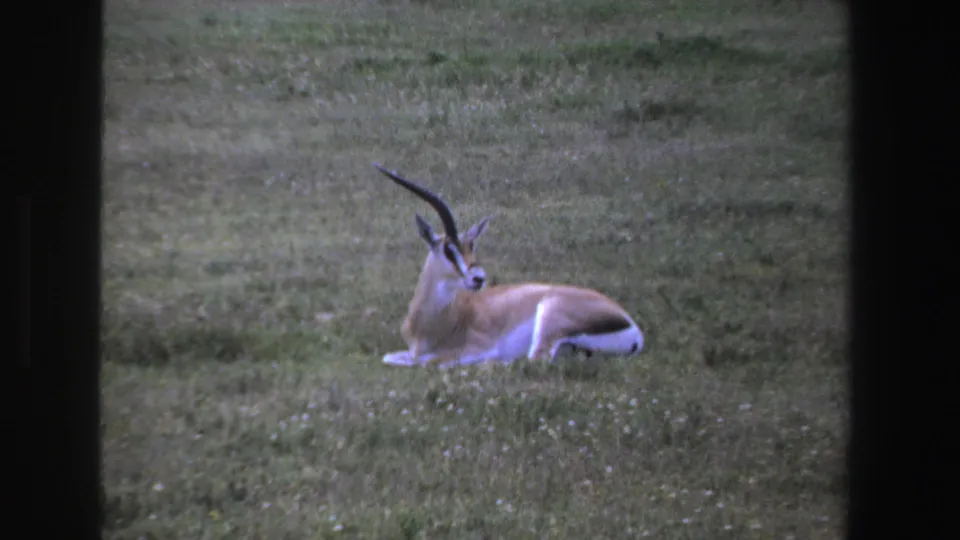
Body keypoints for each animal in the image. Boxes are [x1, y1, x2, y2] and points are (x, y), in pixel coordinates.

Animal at [373, 163, 645, 369]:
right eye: (449, 249)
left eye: (472, 247)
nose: (478, 278)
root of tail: (630, 324)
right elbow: (390, 357)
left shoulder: (477, 348)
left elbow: (428, 362)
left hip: (549, 317)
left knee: (535, 360)